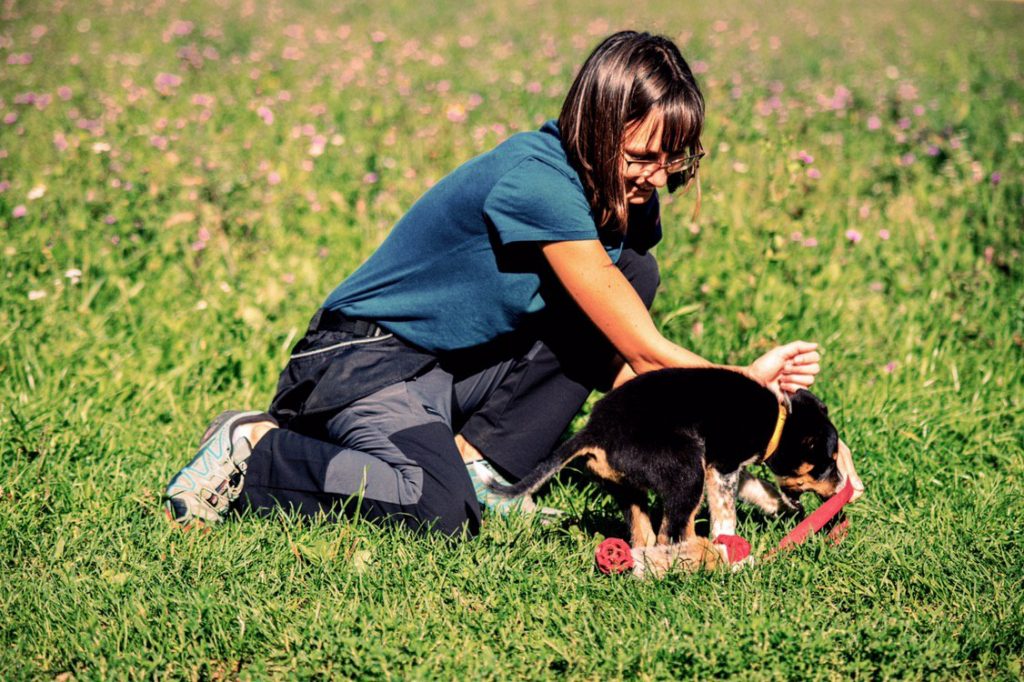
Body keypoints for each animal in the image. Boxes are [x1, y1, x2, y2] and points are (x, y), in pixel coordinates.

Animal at [487, 366, 847, 573]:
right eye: (827, 465)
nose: (843, 486)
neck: (779, 424)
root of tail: (595, 431)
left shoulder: (723, 464)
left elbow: (757, 486)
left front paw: (778, 506)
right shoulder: (722, 465)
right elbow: (726, 511)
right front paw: (727, 539)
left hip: (628, 487)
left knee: (644, 536)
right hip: (687, 469)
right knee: (672, 532)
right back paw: (707, 562)